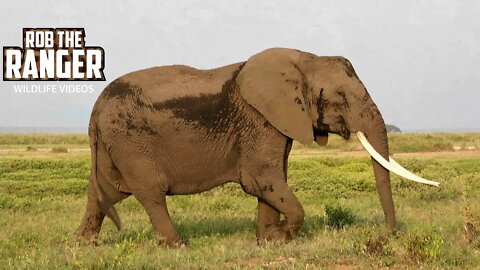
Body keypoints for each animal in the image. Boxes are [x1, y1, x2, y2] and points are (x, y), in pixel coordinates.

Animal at [77, 47, 436, 246]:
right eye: (341, 97)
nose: (388, 235)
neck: (305, 60)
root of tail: (96, 106)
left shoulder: (277, 121)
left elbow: (272, 181)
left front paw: (267, 241)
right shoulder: (259, 119)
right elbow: (262, 179)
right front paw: (281, 237)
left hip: (115, 145)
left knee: (101, 194)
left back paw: (85, 246)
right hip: (132, 142)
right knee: (151, 194)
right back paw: (178, 246)